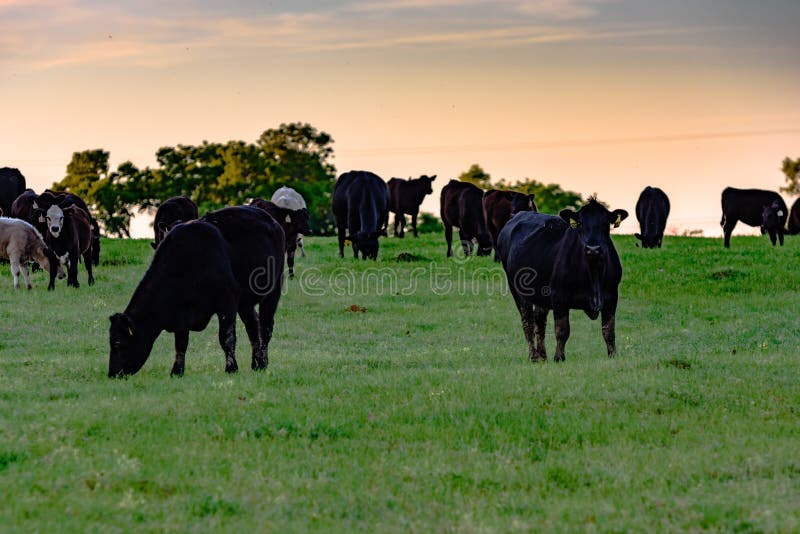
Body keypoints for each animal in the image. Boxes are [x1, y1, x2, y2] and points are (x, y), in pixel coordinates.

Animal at [496, 200, 628, 364]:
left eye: (605, 223)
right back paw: (534, 356)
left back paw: (543, 356)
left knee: (540, 322)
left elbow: (609, 331)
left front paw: (613, 355)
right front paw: (559, 357)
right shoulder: (559, 297)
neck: (594, 272)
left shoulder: (611, 297)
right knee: (528, 322)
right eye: (580, 224)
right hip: (517, 290)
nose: (593, 249)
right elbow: (562, 330)